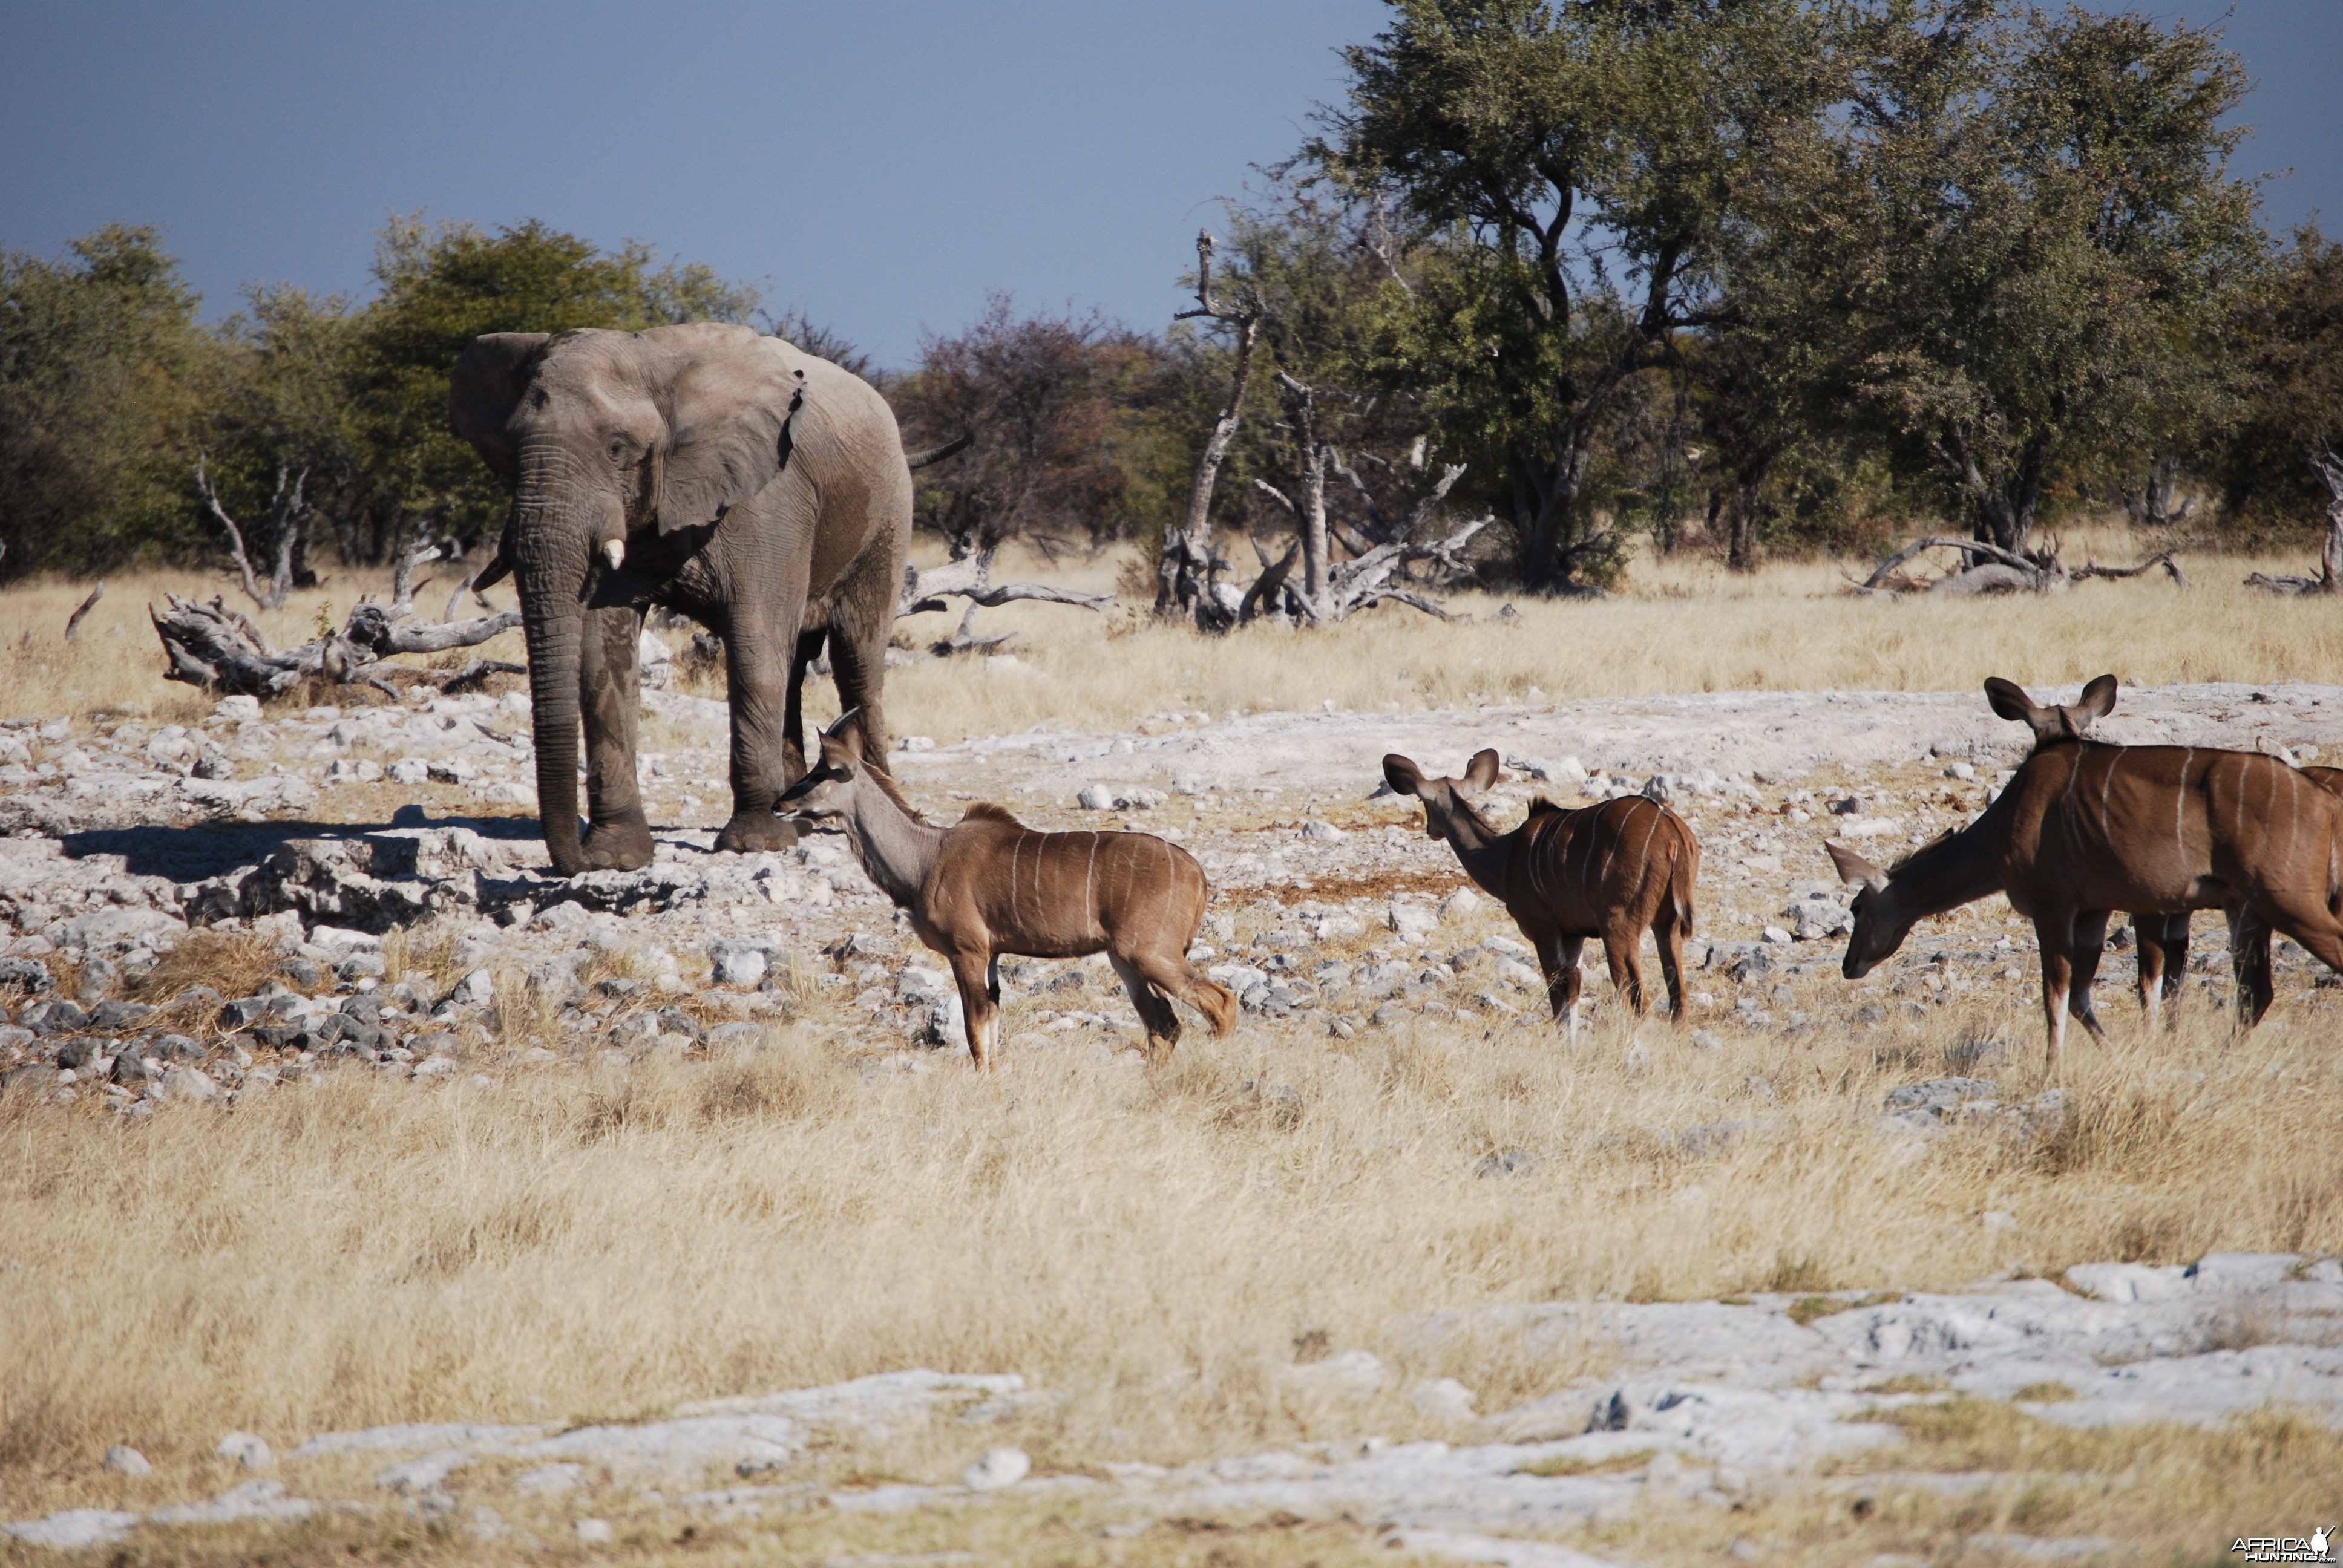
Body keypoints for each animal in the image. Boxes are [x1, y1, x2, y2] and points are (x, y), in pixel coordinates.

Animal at [450, 318, 914, 881]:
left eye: (617, 449)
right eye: (512, 451)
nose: (575, 863)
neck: (657, 365)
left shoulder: (770, 499)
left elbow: (755, 641)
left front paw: (754, 844)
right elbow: (603, 653)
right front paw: (616, 857)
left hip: (889, 514)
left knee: (856, 659)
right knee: (798, 667)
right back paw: (798, 813)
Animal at [778, 712, 1237, 1063]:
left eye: (823, 773)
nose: (779, 804)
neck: (926, 858)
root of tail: (1197, 873)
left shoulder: (968, 951)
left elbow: (974, 1031)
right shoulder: (994, 954)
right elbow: (992, 1028)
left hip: (1150, 954)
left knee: (1220, 1003)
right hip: (1126, 961)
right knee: (1164, 1025)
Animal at [1377, 745, 1696, 1027]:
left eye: (1423, 802)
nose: (1431, 830)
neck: (1504, 856)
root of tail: (1672, 834)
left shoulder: (1543, 929)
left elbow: (1558, 994)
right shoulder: (1574, 935)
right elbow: (1573, 990)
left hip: (1618, 923)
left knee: (1638, 998)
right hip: (1666, 922)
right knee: (1678, 995)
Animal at [1827, 675, 2343, 1063]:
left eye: (1857, 907)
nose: (1849, 965)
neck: (2008, 819)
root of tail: (2324, 800)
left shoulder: (2053, 908)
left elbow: (2055, 995)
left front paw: (2052, 1069)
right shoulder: (2095, 912)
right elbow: (2082, 997)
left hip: (2288, 903)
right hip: (2249, 910)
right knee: (2256, 992)